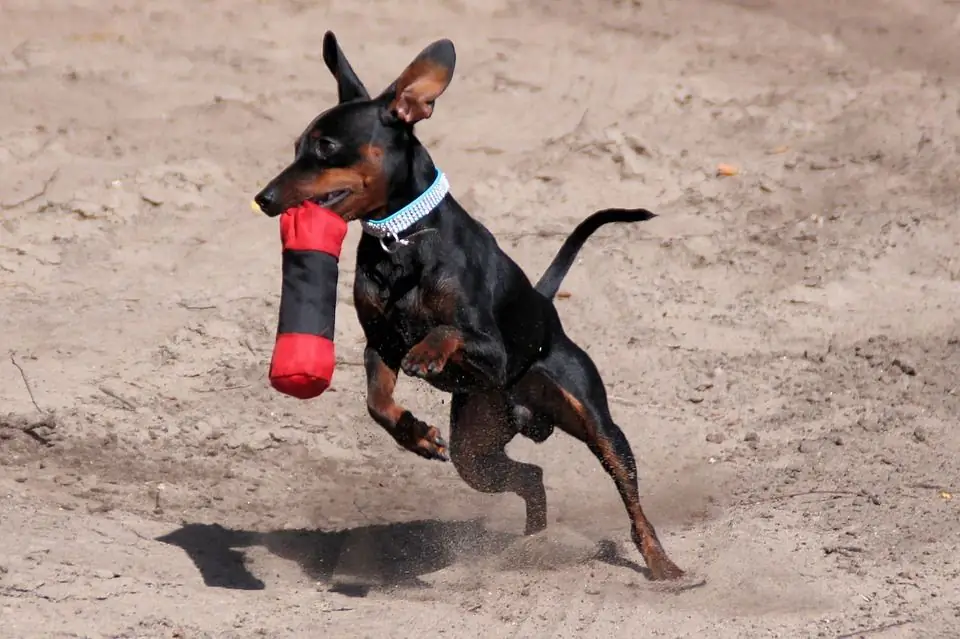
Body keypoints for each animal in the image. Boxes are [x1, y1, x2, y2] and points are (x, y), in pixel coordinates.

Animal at [251, 31, 688, 580]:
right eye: (296, 147)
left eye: (325, 148)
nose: (263, 198)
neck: (401, 241)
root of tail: (546, 303)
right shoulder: (380, 345)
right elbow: (377, 402)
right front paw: (415, 434)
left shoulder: (492, 352)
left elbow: (448, 330)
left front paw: (426, 353)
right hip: (476, 454)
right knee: (532, 475)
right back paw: (529, 545)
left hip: (595, 422)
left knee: (628, 494)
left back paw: (661, 563)